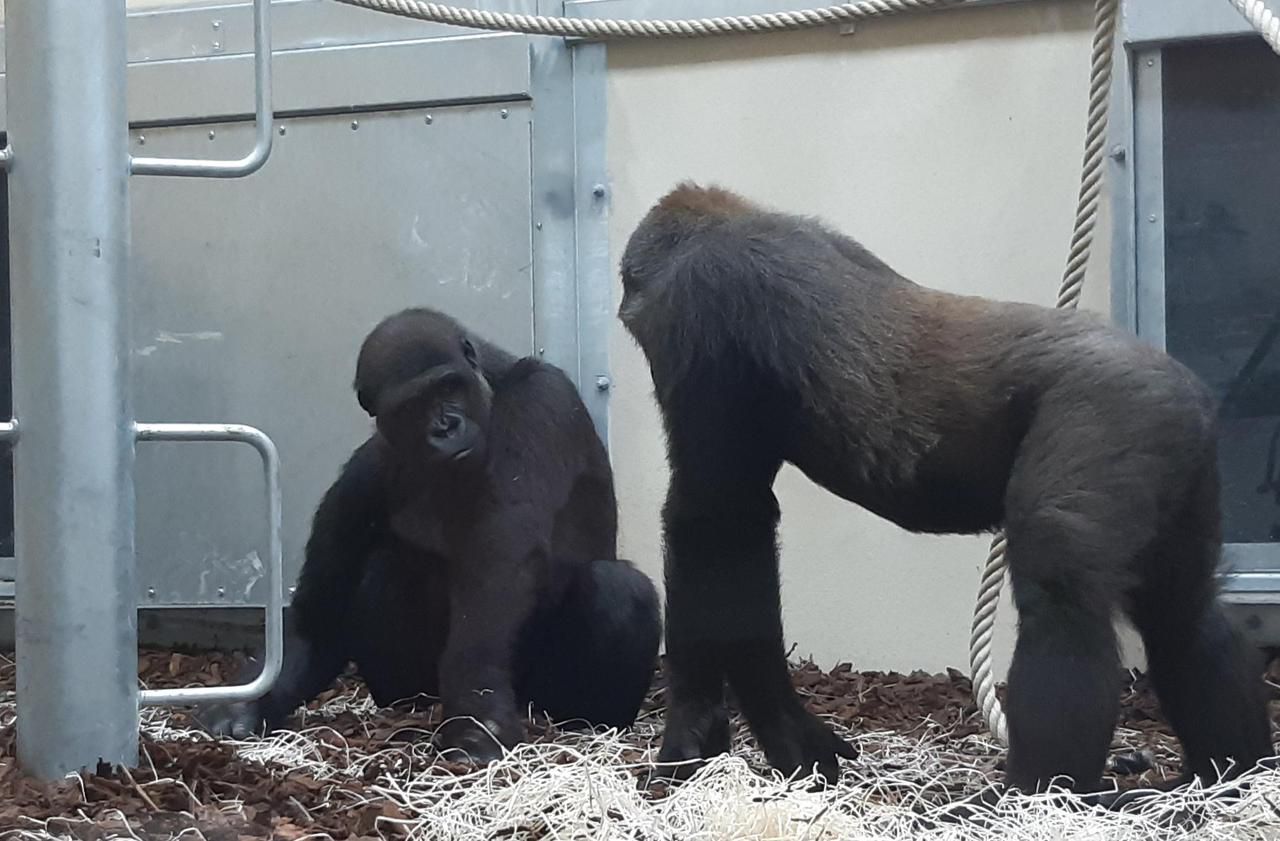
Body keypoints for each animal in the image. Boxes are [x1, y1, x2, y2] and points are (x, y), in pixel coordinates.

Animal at [202, 308, 660, 762]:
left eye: (449, 386)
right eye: (413, 405)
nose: (445, 427)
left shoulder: (542, 401)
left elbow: (498, 576)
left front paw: (476, 714)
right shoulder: (366, 470)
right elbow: (320, 609)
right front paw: (244, 704)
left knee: (618, 587)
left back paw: (588, 720)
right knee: (386, 564)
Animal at [616, 181, 1269, 793]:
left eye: (633, 305)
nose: (625, 313)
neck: (720, 222)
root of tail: (1183, 391)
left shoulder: (701, 310)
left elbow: (715, 523)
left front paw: (707, 727)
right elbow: (733, 530)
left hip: (1111, 413)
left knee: (1064, 596)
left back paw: (1036, 794)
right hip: (1177, 449)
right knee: (1182, 610)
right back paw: (1227, 772)